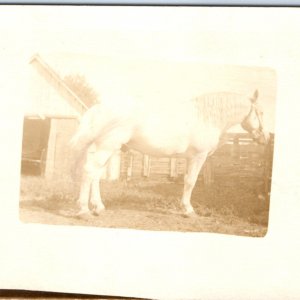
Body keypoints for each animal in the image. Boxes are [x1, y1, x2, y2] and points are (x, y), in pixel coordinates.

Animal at [71, 90, 270, 217]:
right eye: (260, 112)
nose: (266, 137)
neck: (206, 117)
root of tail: (99, 109)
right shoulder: (198, 157)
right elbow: (191, 182)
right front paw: (188, 210)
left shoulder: (190, 158)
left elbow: (186, 181)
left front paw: (184, 207)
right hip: (107, 146)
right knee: (89, 171)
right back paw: (83, 210)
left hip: (108, 148)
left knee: (96, 175)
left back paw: (98, 207)